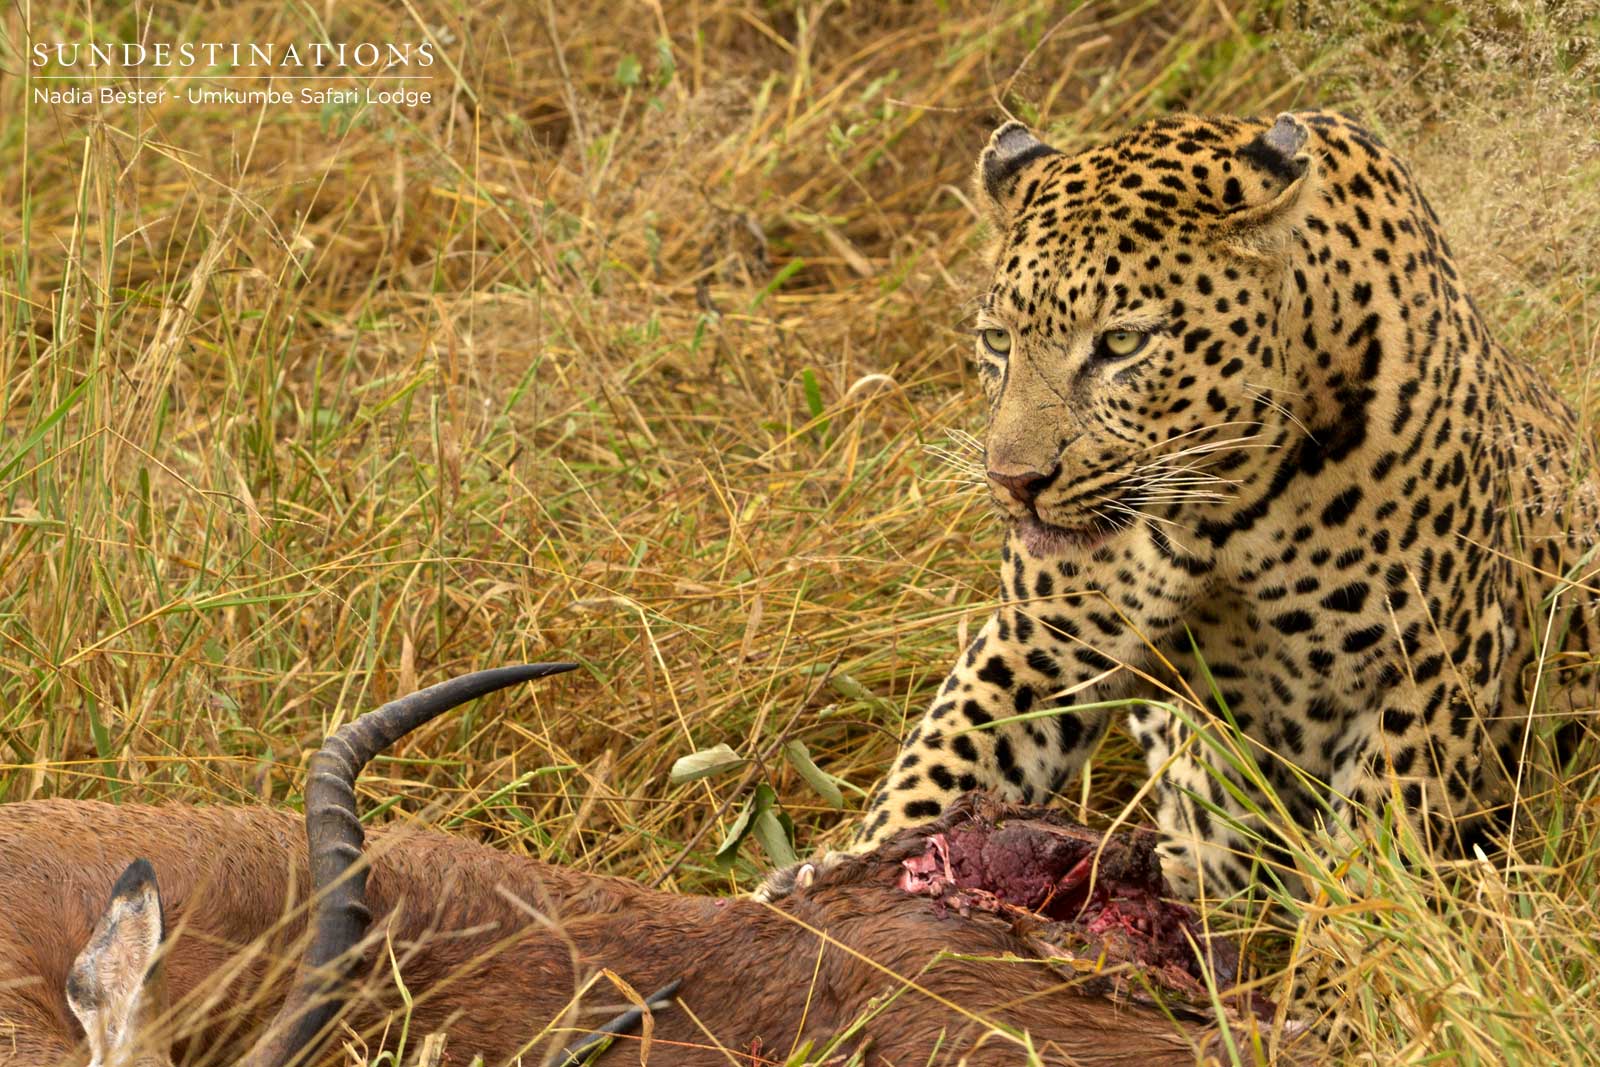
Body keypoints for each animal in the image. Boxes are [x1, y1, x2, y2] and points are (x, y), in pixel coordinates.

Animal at [762, 110, 1597, 913]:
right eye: (997, 340)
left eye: (1121, 343)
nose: (1014, 480)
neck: (1224, 507)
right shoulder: (1040, 640)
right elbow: (943, 762)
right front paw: (833, 883)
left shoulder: (1430, 669)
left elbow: (1375, 849)